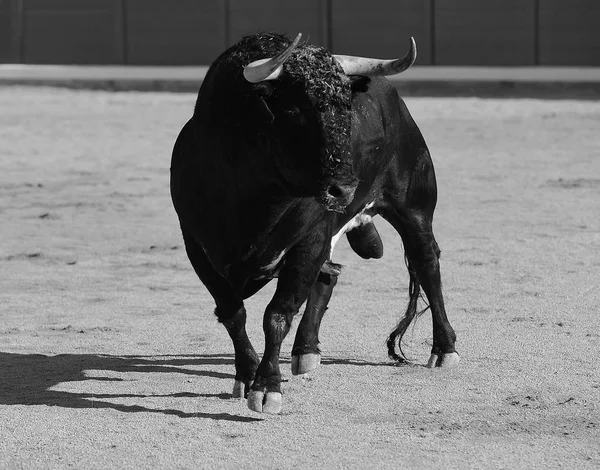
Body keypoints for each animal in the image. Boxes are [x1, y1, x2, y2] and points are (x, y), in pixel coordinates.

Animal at [169, 33, 460, 414]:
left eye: (346, 108)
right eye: (294, 111)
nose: (345, 189)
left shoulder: (309, 239)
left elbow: (277, 314)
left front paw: (267, 387)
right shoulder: (197, 247)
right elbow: (233, 313)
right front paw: (246, 376)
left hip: (414, 208)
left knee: (426, 263)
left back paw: (444, 349)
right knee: (329, 274)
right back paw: (305, 351)